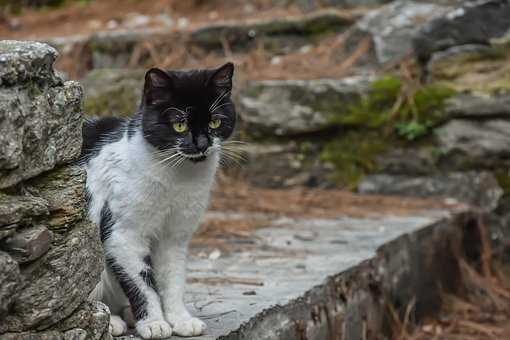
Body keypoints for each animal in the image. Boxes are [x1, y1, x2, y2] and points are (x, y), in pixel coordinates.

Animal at [81, 63, 237, 338]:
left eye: (215, 121)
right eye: (179, 125)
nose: (202, 144)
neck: (178, 179)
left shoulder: (174, 237)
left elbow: (173, 281)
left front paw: (180, 320)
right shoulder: (124, 235)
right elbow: (142, 284)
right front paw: (154, 322)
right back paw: (112, 321)